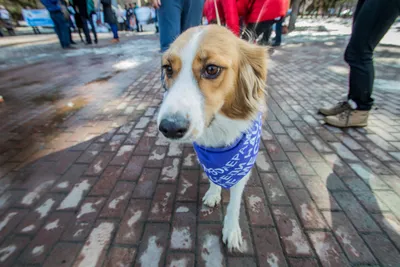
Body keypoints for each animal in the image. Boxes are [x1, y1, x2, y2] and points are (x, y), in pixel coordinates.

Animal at [158, 24, 268, 251]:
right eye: (168, 69)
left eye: (211, 69)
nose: (169, 128)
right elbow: (212, 176)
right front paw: (214, 192)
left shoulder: (241, 168)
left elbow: (234, 203)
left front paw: (231, 230)